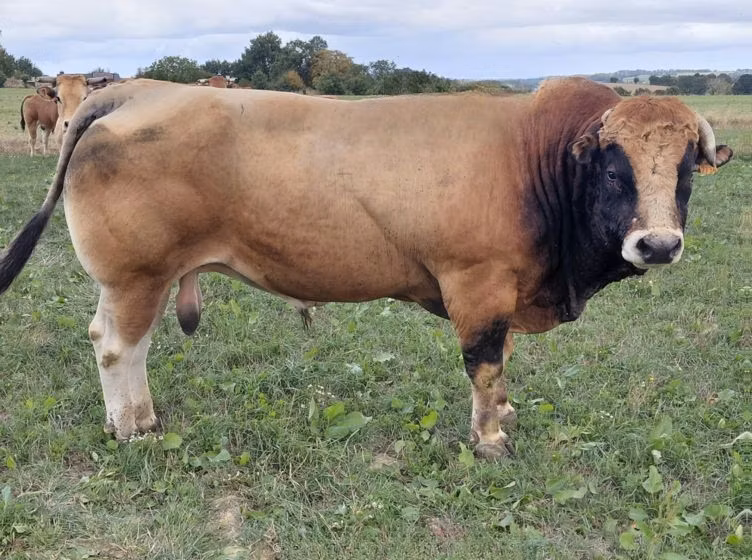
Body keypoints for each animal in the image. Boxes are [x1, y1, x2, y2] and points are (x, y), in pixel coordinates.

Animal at [0, 77, 733, 458]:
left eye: (685, 169)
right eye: (614, 170)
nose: (658, 245)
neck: (535, 158)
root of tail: (137, 90)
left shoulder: (506, 287)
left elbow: (502, 364)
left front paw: (506, 411)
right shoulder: (478, 284)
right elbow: (484, 362)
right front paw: (489, 436)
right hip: (136, 276)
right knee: (118, 347)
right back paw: (137, 426)